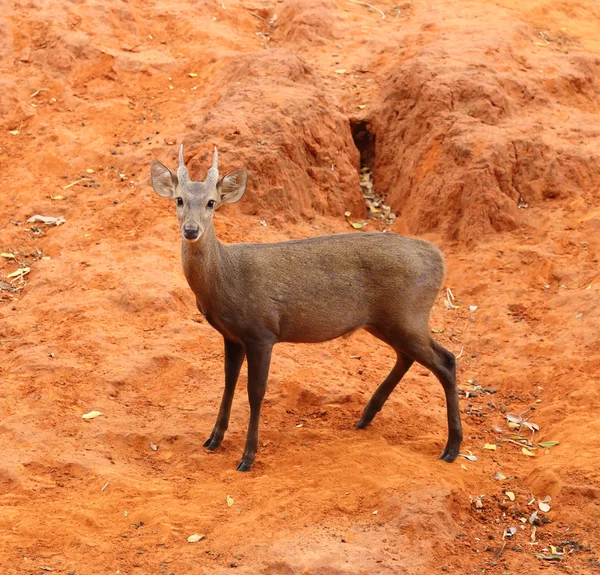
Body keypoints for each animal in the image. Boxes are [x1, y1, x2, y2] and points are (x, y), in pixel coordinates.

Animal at [150, 145, 464, 472]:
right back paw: (366, 417)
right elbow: (228, 384)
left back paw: (452, 447)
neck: (225, 278)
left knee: (446, 360)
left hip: (407, 314)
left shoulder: (262, 331)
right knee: (408, 357)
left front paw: (248, 457)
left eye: (211, 202)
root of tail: (439, 259)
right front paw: (214, 439)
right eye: (179, 199)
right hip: (387, 321)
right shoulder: (232, 336)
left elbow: (256, 393)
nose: (191, 230)